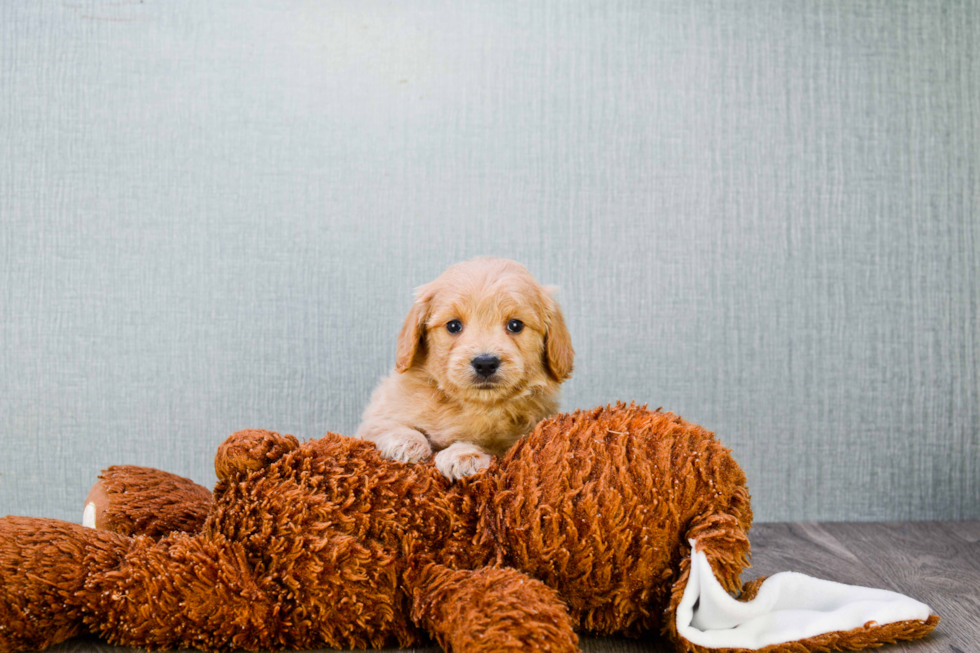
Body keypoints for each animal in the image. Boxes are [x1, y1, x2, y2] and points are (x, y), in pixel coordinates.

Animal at [356, 258, 576, 478]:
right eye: (453, 326)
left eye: (515, 325)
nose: (485, 363)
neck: (472, 405)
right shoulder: (378, 414)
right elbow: (383, 424)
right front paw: (405, 441)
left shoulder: (519, 439)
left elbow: (492, 446)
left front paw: (463, 454)